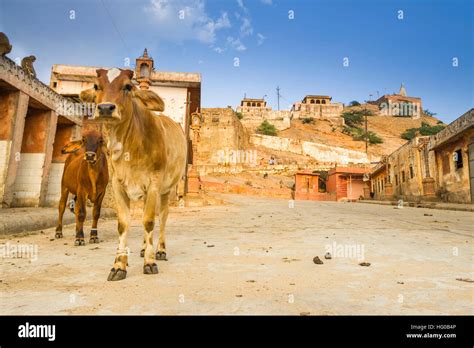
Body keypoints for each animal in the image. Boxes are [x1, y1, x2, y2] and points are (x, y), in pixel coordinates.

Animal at [80, 67, 186, 280]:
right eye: (96, 86)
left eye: (128, 87)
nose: (106, 108)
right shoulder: (117, 184)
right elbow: (123, 224)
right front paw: (119, 265)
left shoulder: (154, 183)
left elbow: (149, 221)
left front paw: (150, 262)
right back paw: (145, 248)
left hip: (166, 190)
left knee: (162, 217)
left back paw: (160, 250)